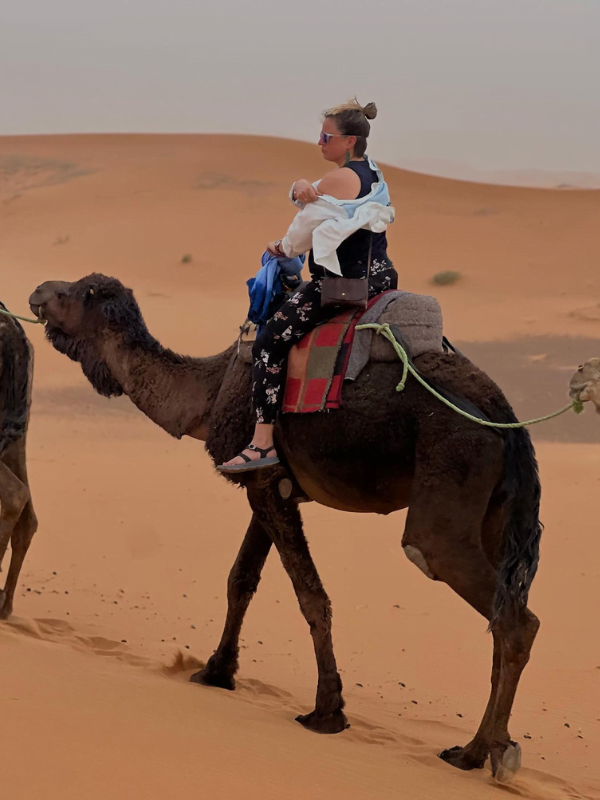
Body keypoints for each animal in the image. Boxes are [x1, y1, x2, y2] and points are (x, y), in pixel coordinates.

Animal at [29, 273, 544, 784]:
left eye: (77, 292)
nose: (37, 291)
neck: (210, 392)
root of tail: (504, 414)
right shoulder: (269, 485)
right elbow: (241, 579)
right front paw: (216, 671)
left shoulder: (263, 483)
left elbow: (309, 596)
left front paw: (326, 711)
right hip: (497, 514)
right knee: (502, 613)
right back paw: (474, 750)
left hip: (450, 477)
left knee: (496, 604)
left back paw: (488, 754)